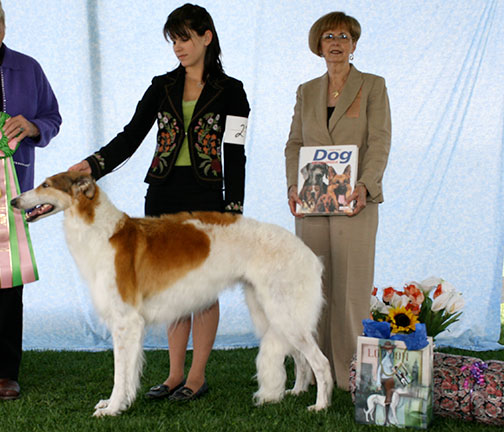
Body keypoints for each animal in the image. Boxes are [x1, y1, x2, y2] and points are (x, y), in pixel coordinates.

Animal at [9, 173, 332, 418]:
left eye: (46, 185)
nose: (13, 201)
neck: (103, 232)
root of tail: (309, 255)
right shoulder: (129, 324)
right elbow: (128, 373)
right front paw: (118, 403)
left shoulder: (125, 321)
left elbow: (119, 373)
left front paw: (112, 409)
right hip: (270, 314)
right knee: (301, 360)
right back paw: (296, 391)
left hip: (284, 312)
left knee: (320, 362)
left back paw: (320, 405)